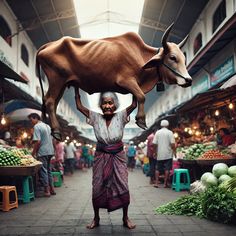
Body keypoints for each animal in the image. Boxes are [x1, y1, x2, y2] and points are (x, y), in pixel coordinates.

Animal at [36, 22, 192, 140]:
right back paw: (56, 131)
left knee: (54, 103)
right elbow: (141, 96)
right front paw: (141, 120)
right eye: (172, 57)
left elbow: (135, 100)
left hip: (61, 84)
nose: (189, 80)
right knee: (50, 101)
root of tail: (48, 45)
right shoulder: (125, 80)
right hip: (56, 80)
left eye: (184, 58)